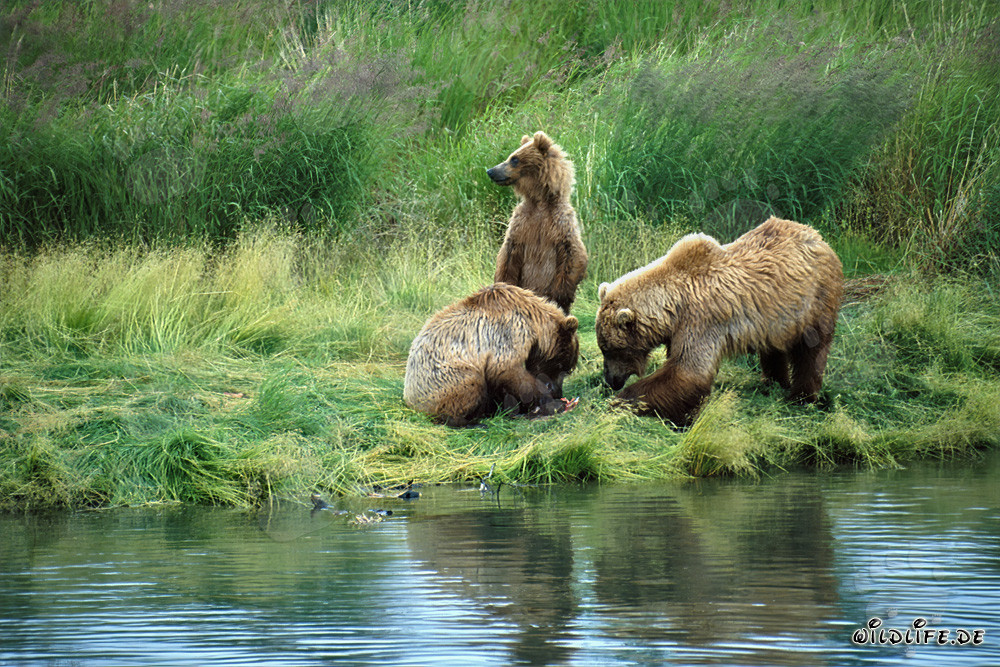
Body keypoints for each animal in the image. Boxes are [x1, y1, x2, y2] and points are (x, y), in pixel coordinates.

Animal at [404, 283, 580, 427]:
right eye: (562, 366)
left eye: (567, 368)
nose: (559, 392)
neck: (533, 323)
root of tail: (411, 402)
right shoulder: (509, 332)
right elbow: (508, 371)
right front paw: (552, 402)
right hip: (444, 380)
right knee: (468, 388)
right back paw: (472, 421)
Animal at [487, 131, 588, 314]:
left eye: (514, 159)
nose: (490, 171)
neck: (540, 202)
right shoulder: (521, 223)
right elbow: (507, 255)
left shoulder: (561, 223)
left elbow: (573, 254)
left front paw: (559, 297)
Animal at [596, 216, 843, 425]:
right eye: (603, 348)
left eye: (611, 349)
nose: (610, 379)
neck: (673, 307)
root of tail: (818, 236)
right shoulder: (678, 330)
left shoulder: (701, 321)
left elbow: (687, 373)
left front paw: (619, 402)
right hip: (774, 315)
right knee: (773, 348)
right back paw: (772, 382)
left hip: (815, 300)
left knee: (812, 350)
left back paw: (802, 397)